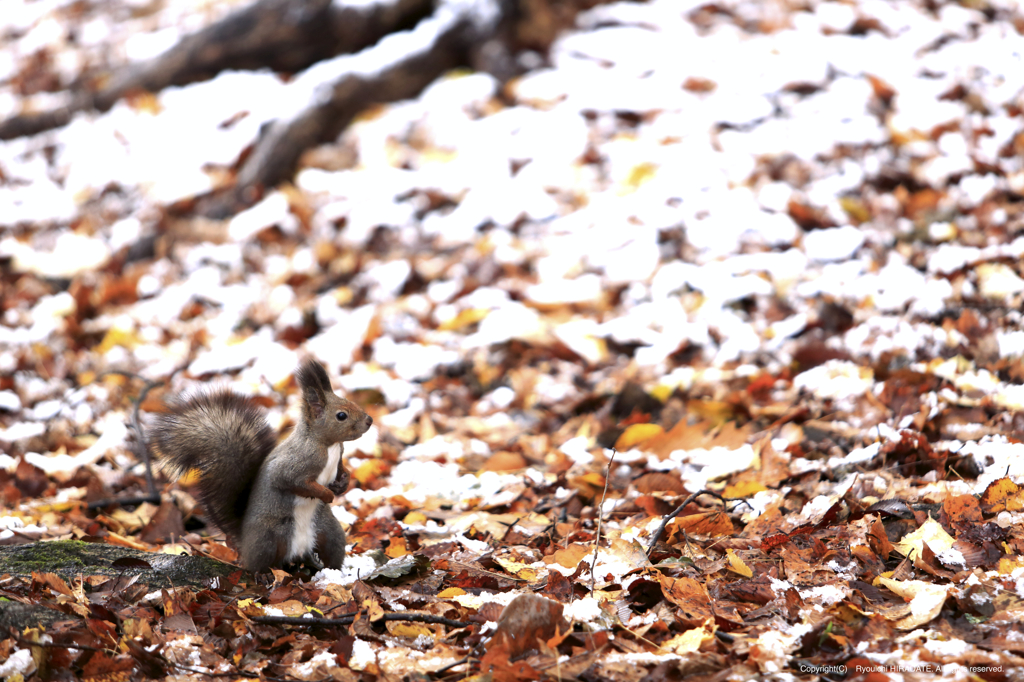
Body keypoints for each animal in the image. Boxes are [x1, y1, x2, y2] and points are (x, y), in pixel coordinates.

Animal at [149, 358, 374, 569]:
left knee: (327, 552)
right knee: (260, 565)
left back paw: (323, 567)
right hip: (267, 539)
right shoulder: (295, 463)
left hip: (330, 534)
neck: (328, 445)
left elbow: (341, 471)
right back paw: (265, 575)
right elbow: (291, 481)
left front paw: (342, 484)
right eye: (341, 415)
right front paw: (327, 494)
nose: (369, 420)